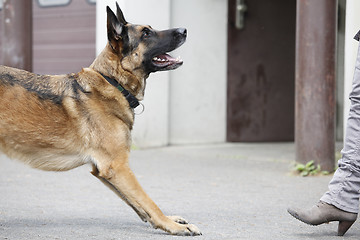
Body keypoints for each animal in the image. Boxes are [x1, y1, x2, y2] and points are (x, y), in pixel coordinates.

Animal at [0, 2, 201, 236]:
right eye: (146, 33)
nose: (184, 30)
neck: (113, 82)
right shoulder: (117, 167)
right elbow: (148, 201)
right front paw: (172, 225)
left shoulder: (104, 170)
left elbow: (138, 204)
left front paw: (167, 221)